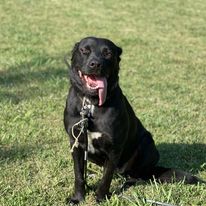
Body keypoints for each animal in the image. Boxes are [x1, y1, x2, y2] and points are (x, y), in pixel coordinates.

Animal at [63, 36, 202, 204]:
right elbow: (78, 175)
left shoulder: (114, 148)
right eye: (84, 50)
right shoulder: (76, 142)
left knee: (137, 175)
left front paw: (101, 198)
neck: (91, 103)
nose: (95, 64)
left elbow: (106, 178)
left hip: (147, 144)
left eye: (108, 53)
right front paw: (78, 198)